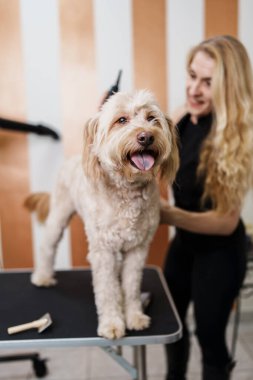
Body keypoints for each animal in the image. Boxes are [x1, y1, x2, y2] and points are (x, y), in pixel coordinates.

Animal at [25, 90, 179, 340]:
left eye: (152, 119)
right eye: (122, 120)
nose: (146, 137)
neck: (127, 191)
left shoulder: (137, 249)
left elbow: (131, 286)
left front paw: (134, 316)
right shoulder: (103, 251)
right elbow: (107, 290)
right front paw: (113, 323)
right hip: (59, 214)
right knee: (47, 246)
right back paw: (43, 277)